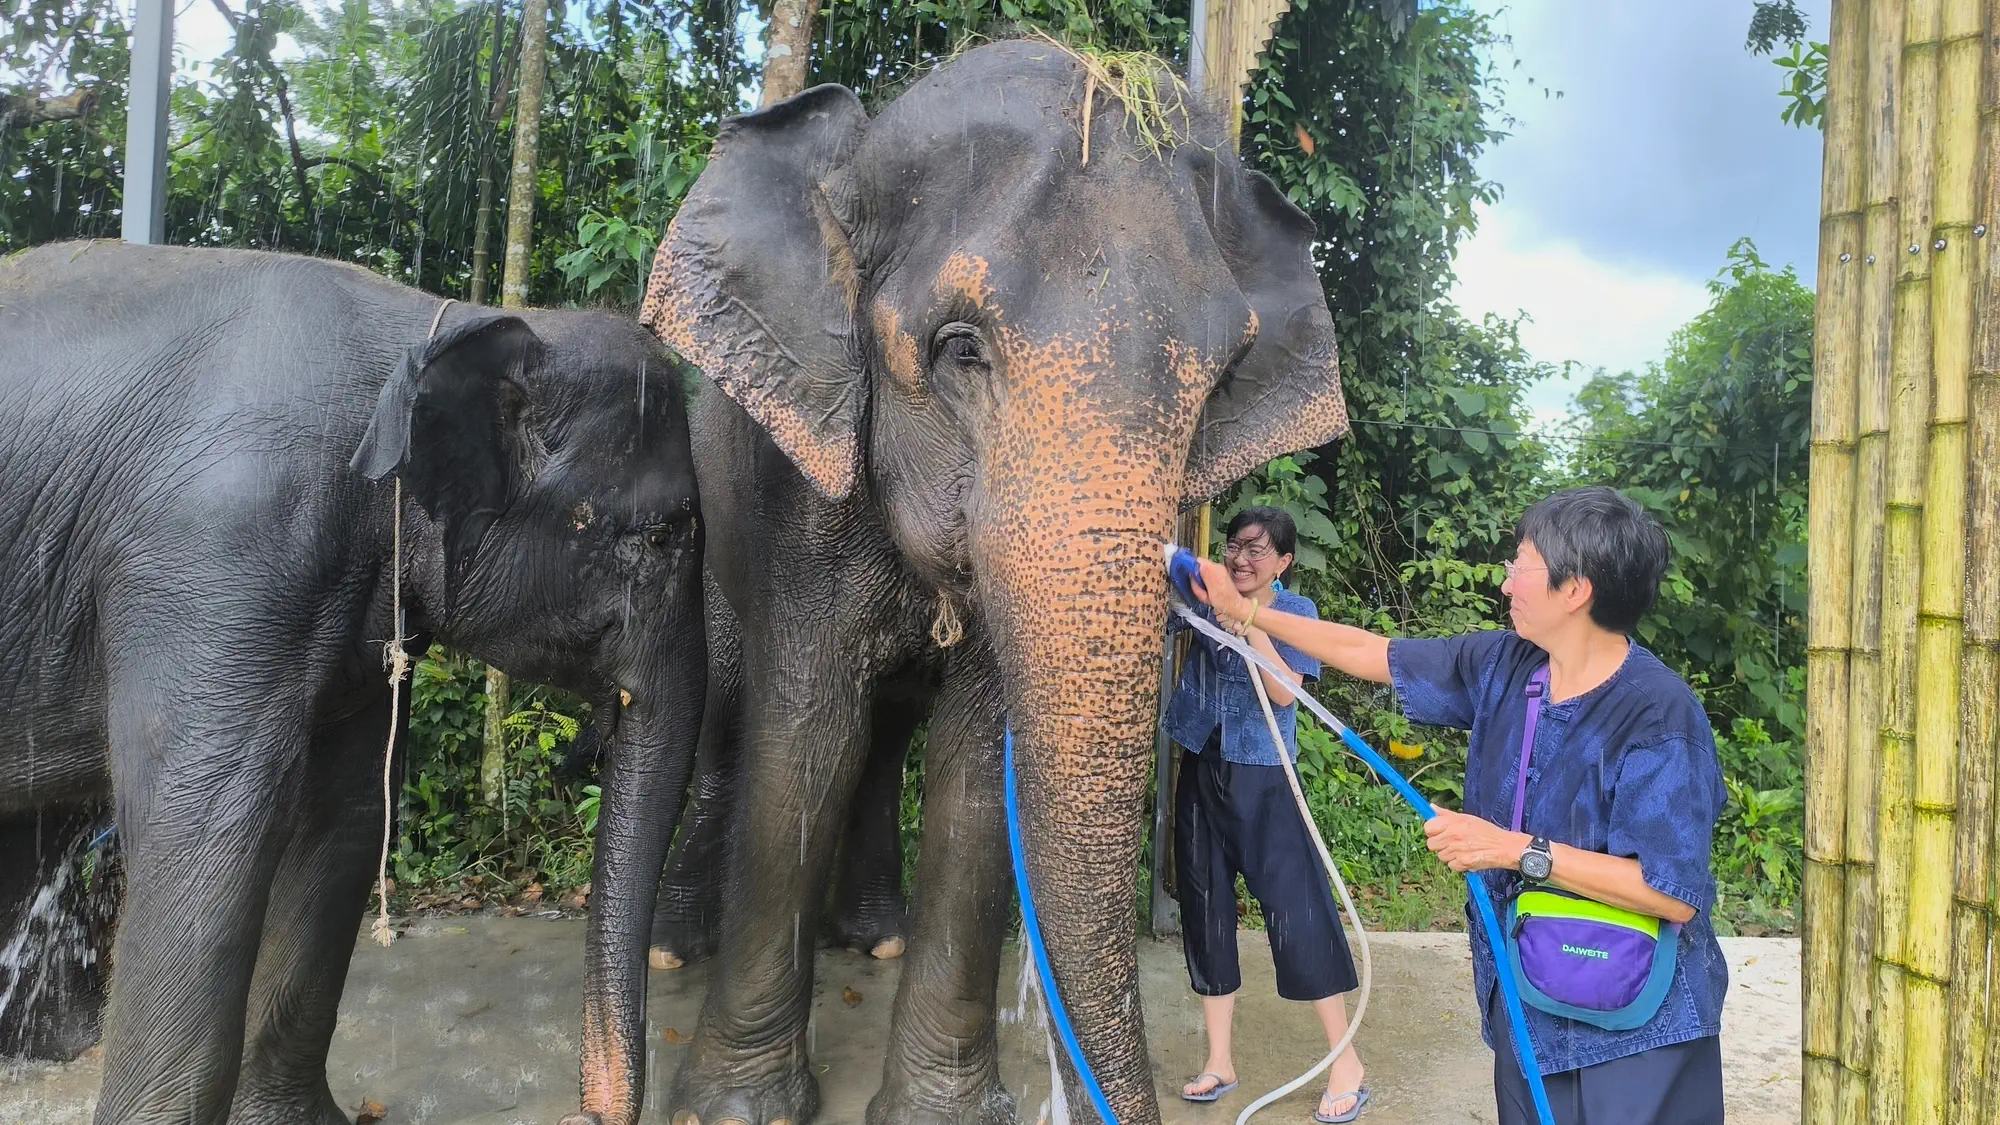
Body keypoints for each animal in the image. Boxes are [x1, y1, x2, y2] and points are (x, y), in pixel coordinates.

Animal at [0, 240, 707, 1125]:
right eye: (663, 535)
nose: (593, 1108)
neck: (432, 323)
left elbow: (346, 810)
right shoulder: (219, 552)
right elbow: (205, 819)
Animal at [624, 36, 1350, 1125]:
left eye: (1217, 382)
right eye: (960, 350)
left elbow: (972, 772)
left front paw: (940, 1113)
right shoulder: (802, 496)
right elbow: (802, 745)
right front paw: (730, 1111)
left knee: (885, 739)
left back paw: (874, 937)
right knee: (726, 720)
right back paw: (677, 949)